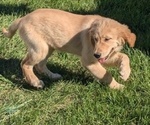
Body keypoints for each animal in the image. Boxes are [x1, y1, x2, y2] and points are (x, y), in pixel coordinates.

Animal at [2, 8, 136, 89]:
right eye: (95, 39)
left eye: (107, 39)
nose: (97, 55)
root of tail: (23, 18)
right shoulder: (89, 59)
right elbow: (106, 74)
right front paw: (118, 87)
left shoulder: (103, 56)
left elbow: (125, 56)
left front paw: (125, 72)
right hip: (40, 49)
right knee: (25, 64)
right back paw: (35, 82)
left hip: (48, 48)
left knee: (40, 65)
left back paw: (53, 76)